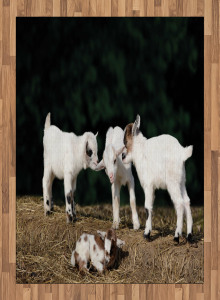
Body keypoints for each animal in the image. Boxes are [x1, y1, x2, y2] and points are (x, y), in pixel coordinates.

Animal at [123, 115, 193, 244]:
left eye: (125, 141)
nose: (123, 156)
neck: (141, 151)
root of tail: (182, 153)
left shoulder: (148, 185)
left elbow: (147, 207)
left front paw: (147, 234)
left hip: (172, 183)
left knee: (179, 203)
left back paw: (176, 236)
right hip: (181, 182)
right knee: (186, 201)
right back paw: (189, 236)